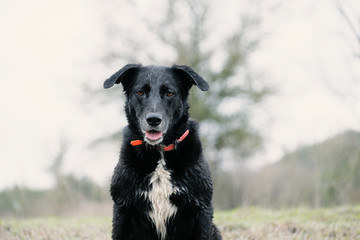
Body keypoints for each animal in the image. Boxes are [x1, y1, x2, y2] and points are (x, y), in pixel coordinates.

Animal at [104, 63, 221, 240]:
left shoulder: (202, 209)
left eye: (169, 93)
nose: (153, 120)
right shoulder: (122, 208)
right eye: (140, 92)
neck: (159, 151)